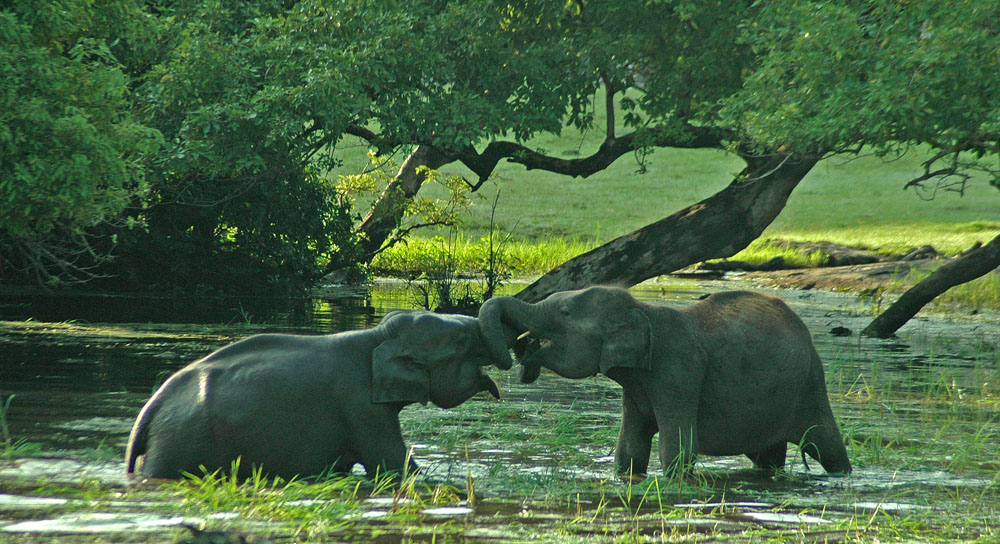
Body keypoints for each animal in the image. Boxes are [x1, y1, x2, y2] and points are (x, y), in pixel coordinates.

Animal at [125, 310, 508, 480]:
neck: (377, 336)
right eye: (461, 340)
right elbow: (394, 466)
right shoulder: (360, 407)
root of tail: (151, 409)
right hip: (179, 443)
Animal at [478, 286, 852, 478]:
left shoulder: (679, 371)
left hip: (810, 383)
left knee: (827, 445)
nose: (521, 351)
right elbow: (629, 449)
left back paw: (841, 475)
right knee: (768, 457)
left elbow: (677, 448)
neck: (644, 310)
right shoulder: (635, 384)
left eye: (565, 313)